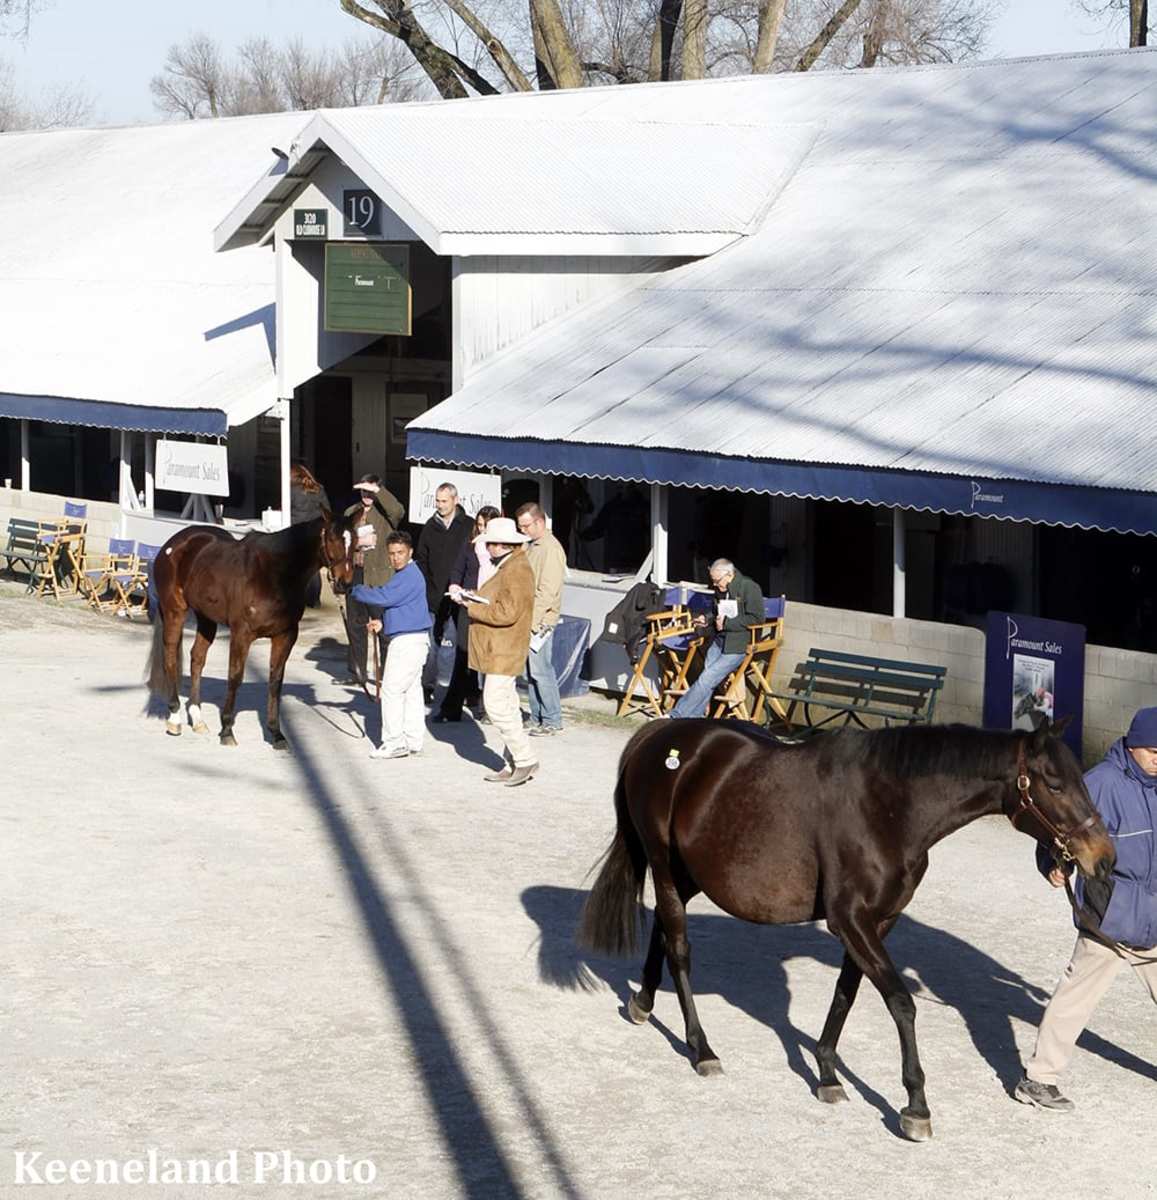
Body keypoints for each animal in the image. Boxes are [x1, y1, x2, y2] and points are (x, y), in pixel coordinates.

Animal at [145, 512, 354, 749]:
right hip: (175, 611)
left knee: (197, 659)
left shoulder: (285, 635)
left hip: (206, 618)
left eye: (355, 541)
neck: (274, 573)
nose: (344, 584)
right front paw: (227, 730)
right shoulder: (242, 634)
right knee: (170, 658)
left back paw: (198, 719)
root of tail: (173, 544)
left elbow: (275, 681)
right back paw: (174, 719)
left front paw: (276, 733)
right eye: (332, 539)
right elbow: (235, 677)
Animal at [577, 719, 1114, 1141]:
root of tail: (657, 735)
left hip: (691, 873)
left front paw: (827, 1073)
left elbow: (847, 993)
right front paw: (915, 1105)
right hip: (666, 868)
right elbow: (900, 1001)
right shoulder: (851, 921)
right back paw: (701, 1047)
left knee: (663, 933)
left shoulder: (877, 922)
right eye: (1055, 784)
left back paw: (643, 1002)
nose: (1104, 858)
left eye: (1081, 781)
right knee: (680, 947)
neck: (887, 806)